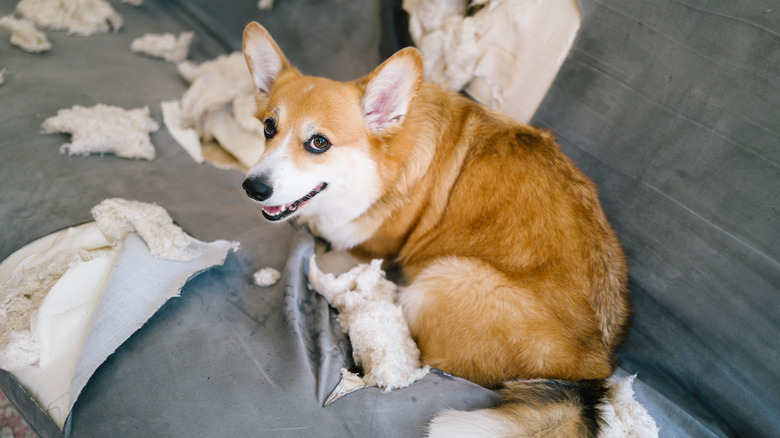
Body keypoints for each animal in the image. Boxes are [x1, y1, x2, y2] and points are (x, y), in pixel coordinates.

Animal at [241, 22, 632, 436]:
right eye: (269, 127)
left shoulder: (361, 251)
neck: (381, 165)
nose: (253, 188)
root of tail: (591, 374)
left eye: (319, 143)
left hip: (438, 280)